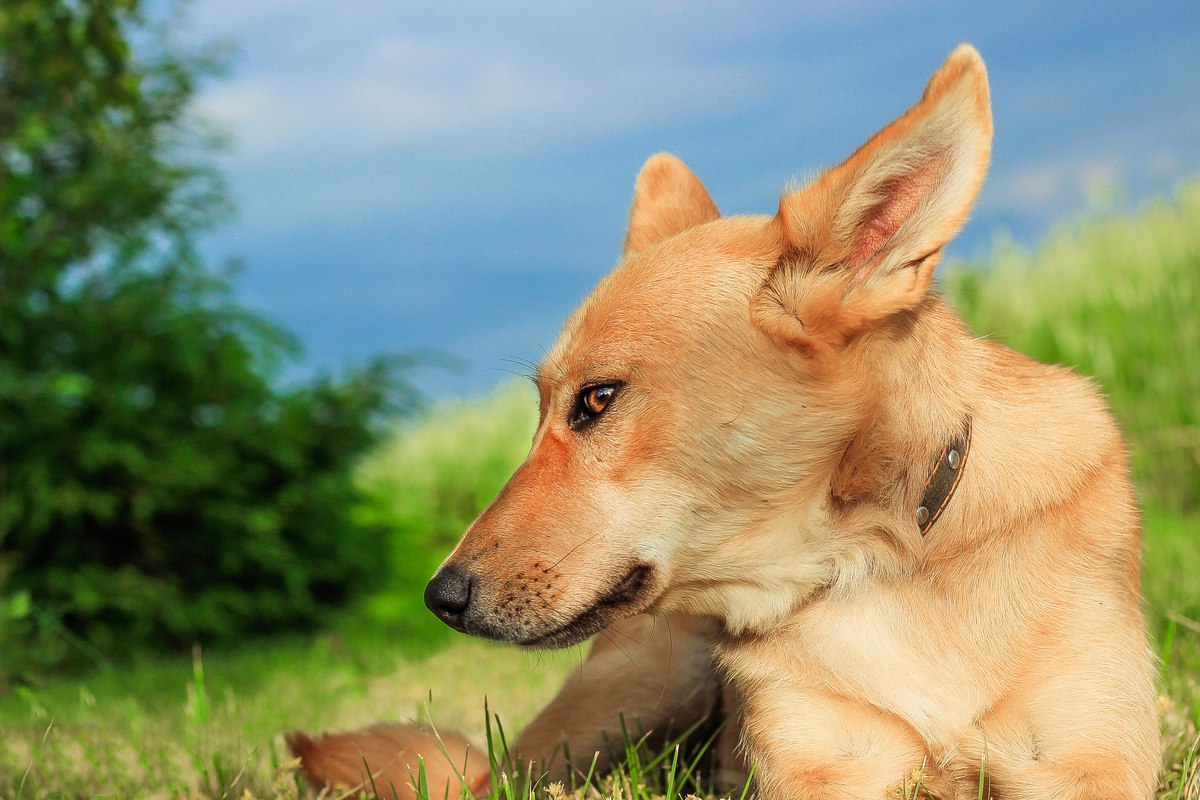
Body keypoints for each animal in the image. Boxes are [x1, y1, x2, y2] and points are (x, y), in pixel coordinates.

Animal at [285, 45, 1156, 800]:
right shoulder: (823, 763)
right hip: (629, 695)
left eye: (597, 399)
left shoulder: (1088, 752)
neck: (883, 560)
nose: (440, 597)